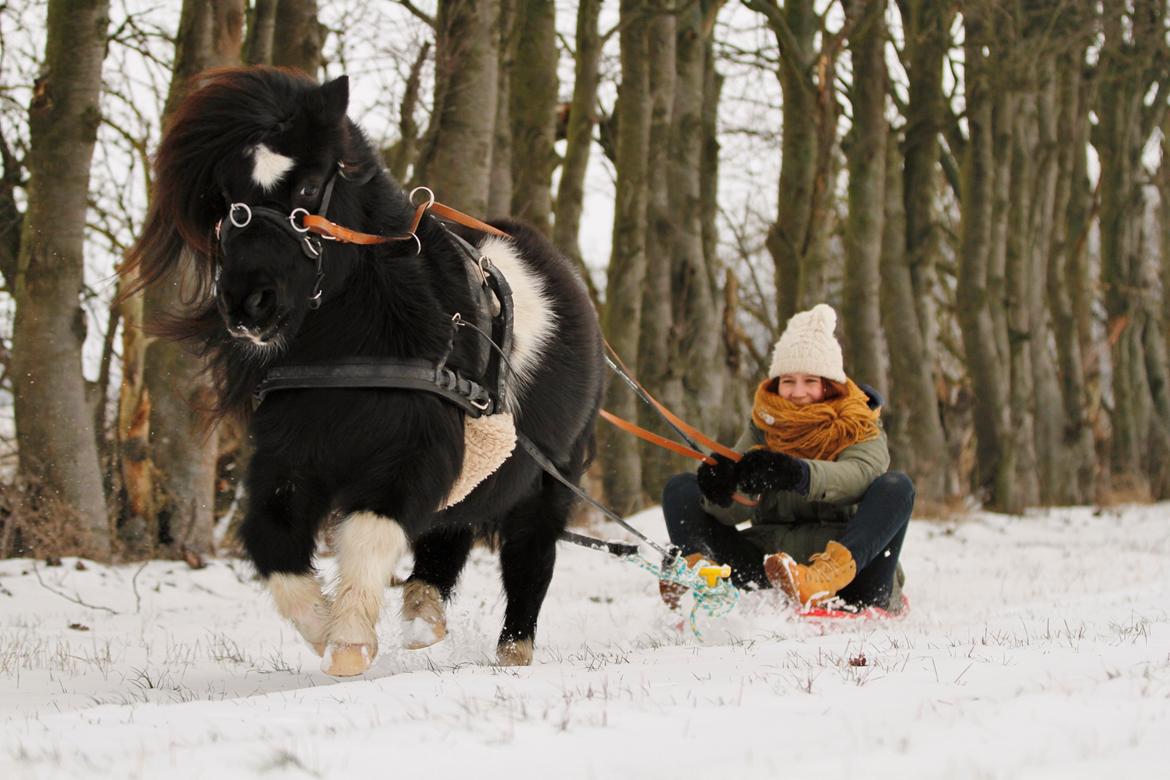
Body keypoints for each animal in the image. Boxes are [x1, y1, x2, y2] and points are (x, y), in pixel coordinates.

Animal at [128, 68, 603, 678]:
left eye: (308, 188)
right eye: (227, 197)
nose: (247, 305)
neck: (358, 338)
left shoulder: (412, 453)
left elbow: (369, 530)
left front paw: (350, 641)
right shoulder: (290, 454)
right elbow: (271, 539)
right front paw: (320, 627)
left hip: (550, 477)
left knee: (530, 555)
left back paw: (513, 649)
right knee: (448, 535)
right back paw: (424, 617)